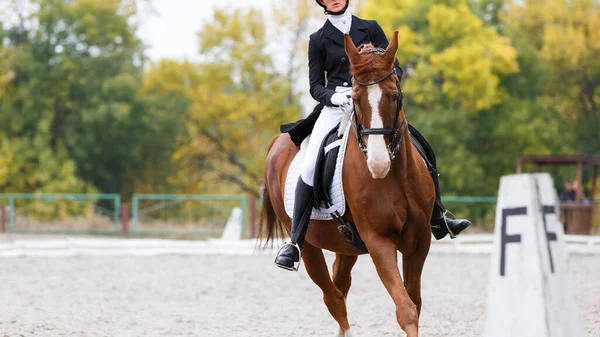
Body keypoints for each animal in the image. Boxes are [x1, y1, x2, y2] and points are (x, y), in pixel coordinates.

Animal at [260, 30, 434, 334]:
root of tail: (280, 140)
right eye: (354, 98)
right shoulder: (378, 241)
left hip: (347, 245)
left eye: (393, 95)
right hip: (309, 245)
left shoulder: (420, 239)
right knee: (333, 298)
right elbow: (406, 310)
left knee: (340, 285)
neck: (397, 178)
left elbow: (415, 303)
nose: (378, 164)